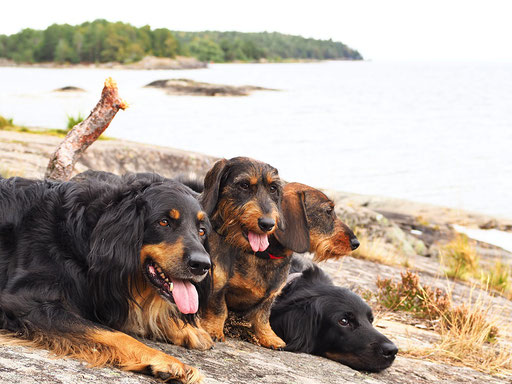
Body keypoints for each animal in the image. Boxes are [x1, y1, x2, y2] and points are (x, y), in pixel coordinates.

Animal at [0, 176, 212, 382]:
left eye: (201, 231)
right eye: (164, 222)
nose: (202, 265)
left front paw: (186, 329)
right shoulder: (24, 301)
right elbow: (113, 334)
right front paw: (166, 360)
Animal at [194, 158, 358, 350]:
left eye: (273, 189)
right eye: (328, 211)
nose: (356, 243)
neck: (261, 255)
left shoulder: (270, 297)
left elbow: (262, 317)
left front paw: (269, 337)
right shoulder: (218, 285)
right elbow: (219, 309)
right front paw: (214, 331)